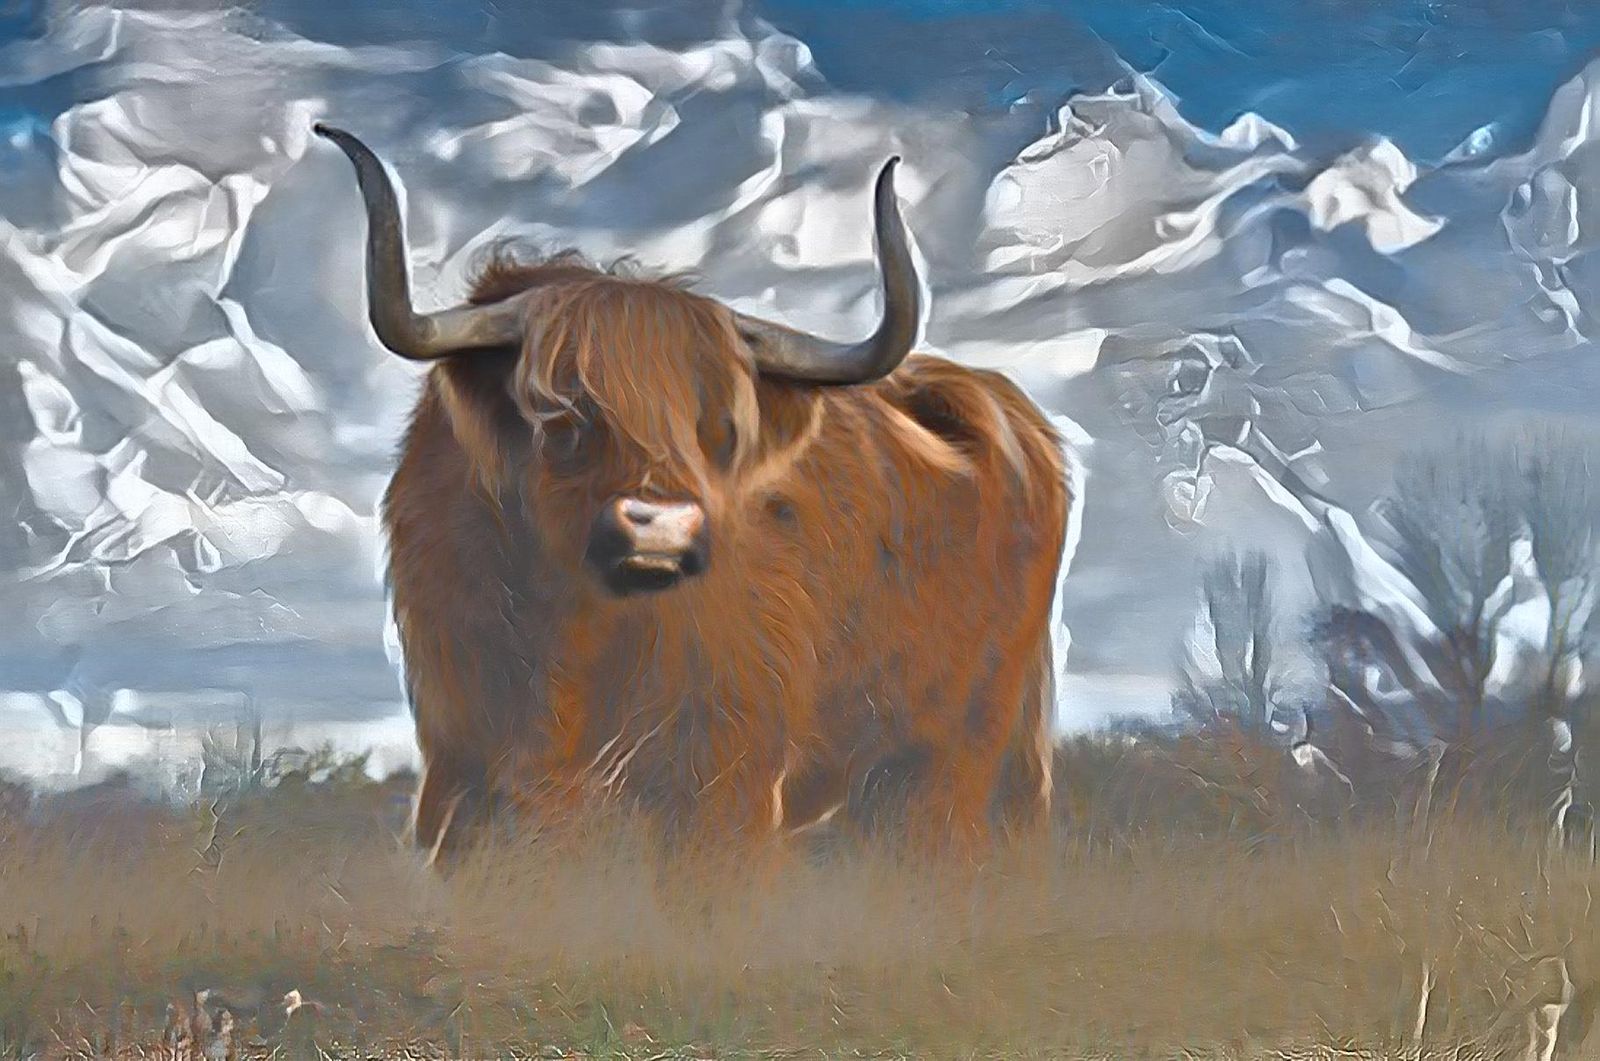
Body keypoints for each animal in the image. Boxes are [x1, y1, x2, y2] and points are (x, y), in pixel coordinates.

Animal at [312, 123, 1072, 861]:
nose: (663, 526)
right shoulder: (462, 781)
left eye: (719, 429)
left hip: (958, 760)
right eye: (559, 415)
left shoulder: (723, 786)